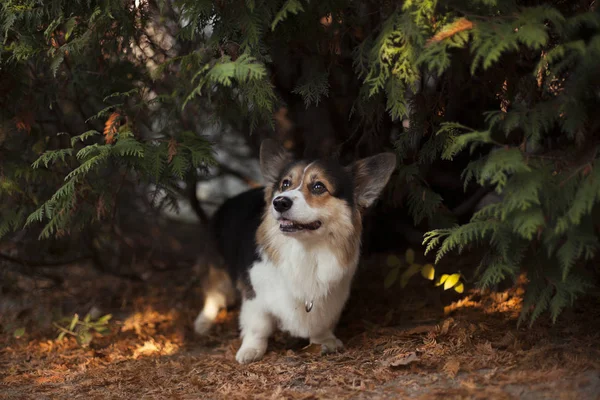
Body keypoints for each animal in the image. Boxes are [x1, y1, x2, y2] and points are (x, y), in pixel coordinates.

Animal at [195, 139, 396, 364]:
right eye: (285, 184)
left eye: (318, 186)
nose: (280, 202)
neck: (305, 250)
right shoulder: (255, 295)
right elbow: (258, 325)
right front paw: (250, 350)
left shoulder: (332, 295)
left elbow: (321, 322)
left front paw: (324, 341)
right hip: (217, 268)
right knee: (214, 294)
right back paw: (203, 323)